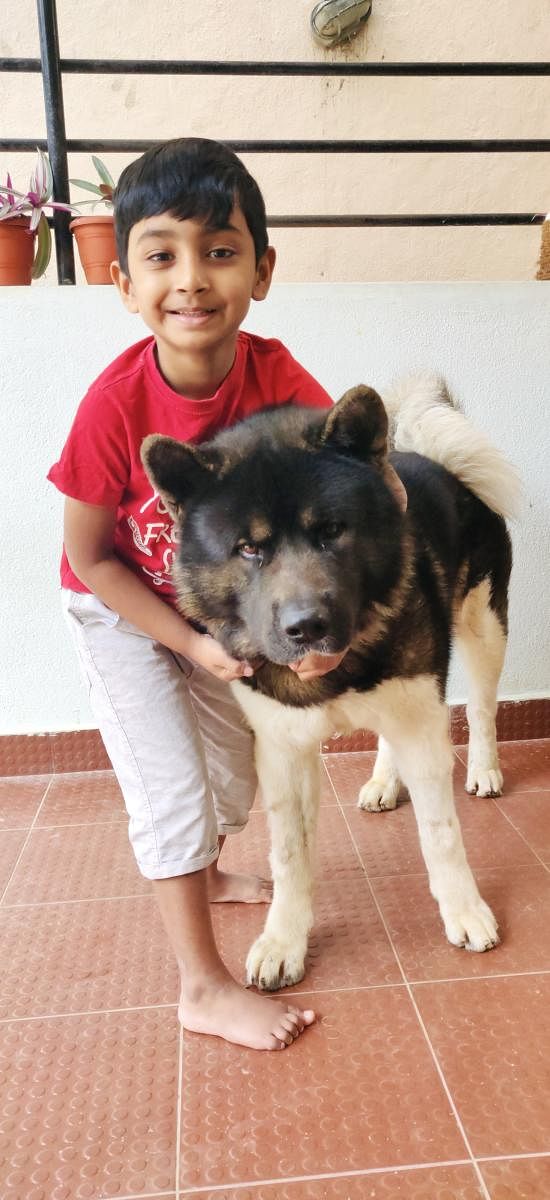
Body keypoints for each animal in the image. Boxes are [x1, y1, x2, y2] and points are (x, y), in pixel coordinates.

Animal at [142, 376, 518, 993]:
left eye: (332, 532)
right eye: (249, 548)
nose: (306, 627)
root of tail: (437, 460)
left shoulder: (421, 717)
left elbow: (441, 834)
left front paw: (464, 911)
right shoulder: (283, 751)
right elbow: (289, 857)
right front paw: (283, 941)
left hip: (483, 627)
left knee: (483, 709)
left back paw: (484, 770)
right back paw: (384, 782)